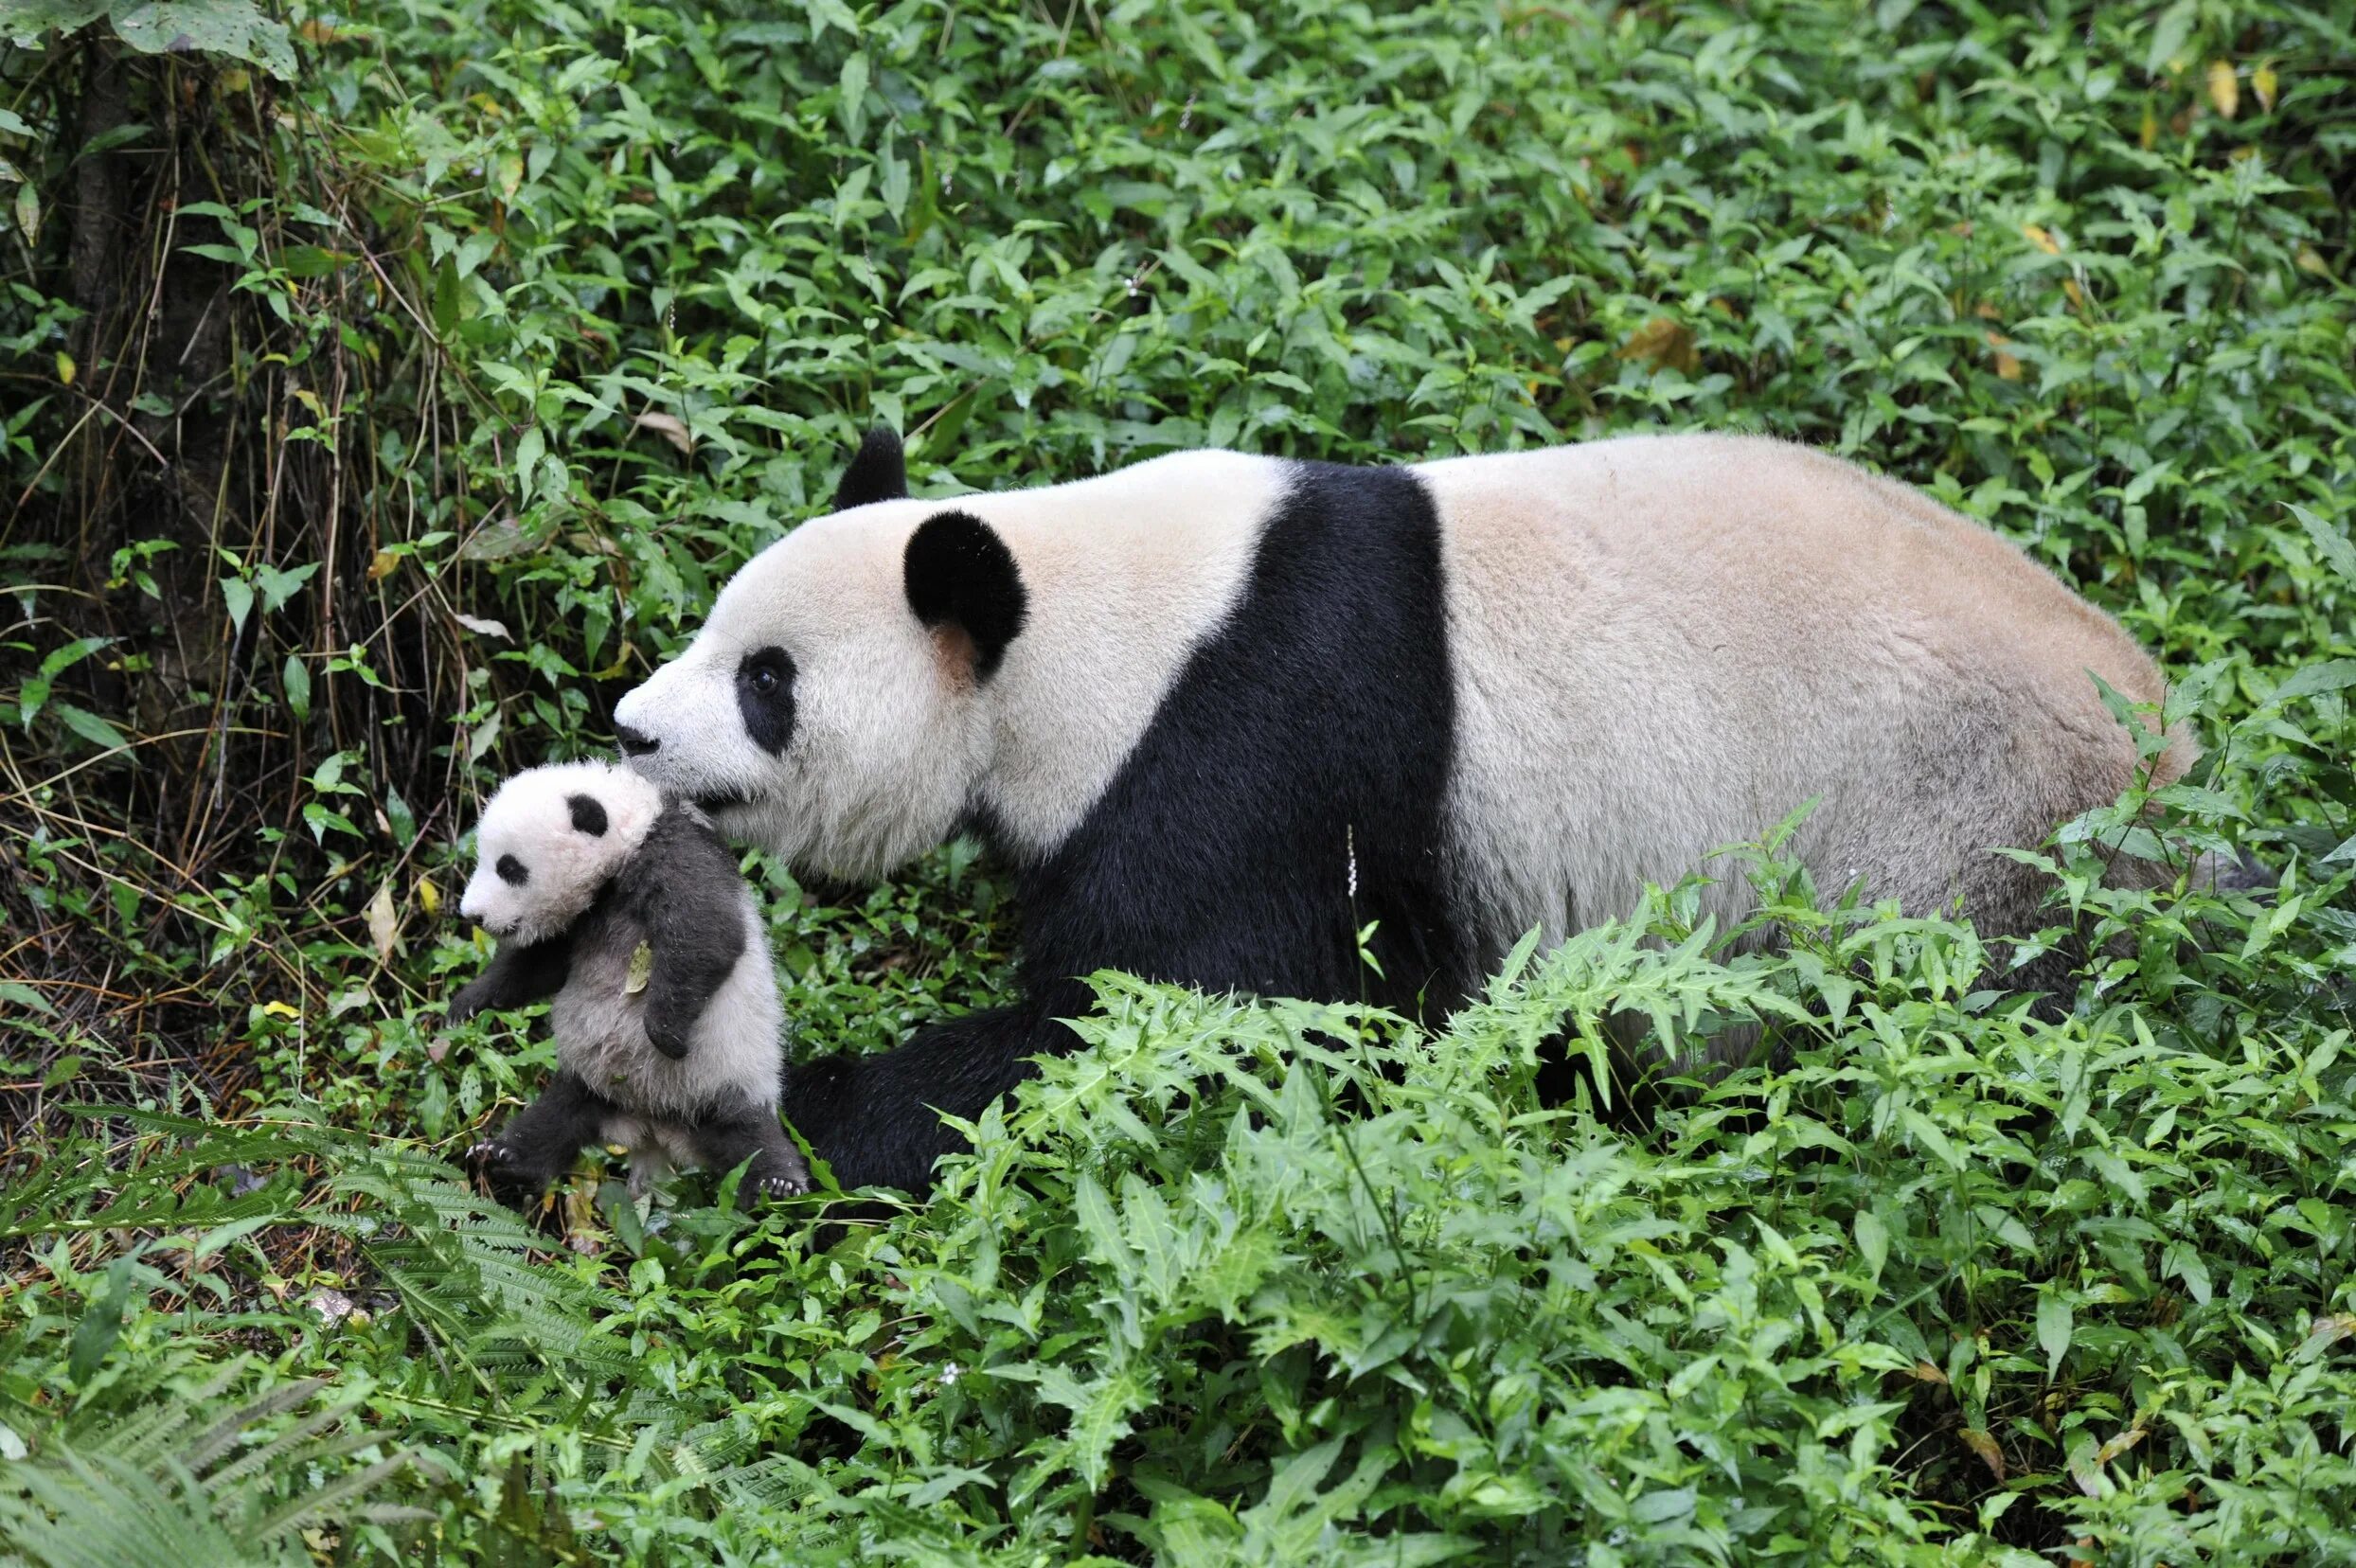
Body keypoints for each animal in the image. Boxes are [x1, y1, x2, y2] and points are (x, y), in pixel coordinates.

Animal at [612, 428, 2186, 1186]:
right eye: (713, 636)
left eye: (766, 681)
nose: (629, 731)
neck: (1096, 624)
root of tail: (2168, 759)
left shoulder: (1267, 748)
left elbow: (1196, 1020)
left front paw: (773, 1121)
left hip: (1935, 848)